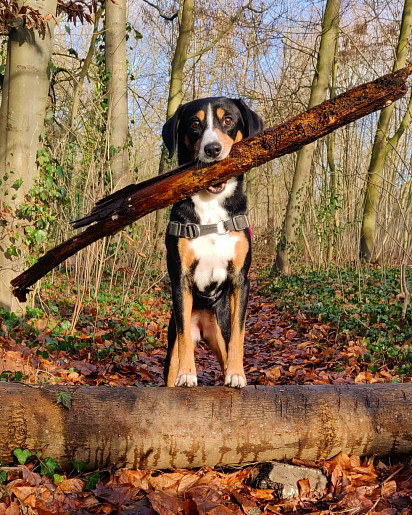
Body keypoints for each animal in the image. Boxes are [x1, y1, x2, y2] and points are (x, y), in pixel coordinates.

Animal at [162, 97, 264, 390]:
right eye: (195, 124)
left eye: (228, 120)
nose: (212, 149)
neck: (211, 208)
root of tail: (202, 324)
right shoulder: (180, 279)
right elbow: (184, 339)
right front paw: (188, 373)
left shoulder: (241, 279)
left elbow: (240, 333)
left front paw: (237, 374)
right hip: (173, 344)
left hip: (219, 332)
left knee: (227, 348)